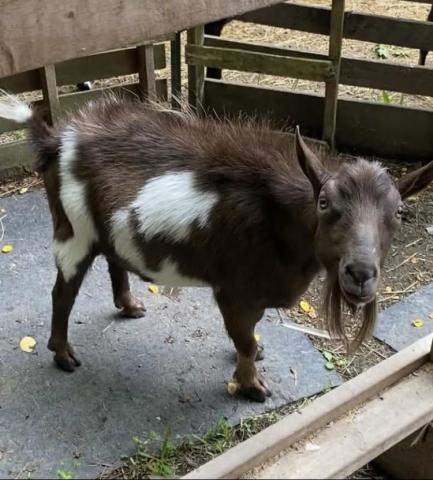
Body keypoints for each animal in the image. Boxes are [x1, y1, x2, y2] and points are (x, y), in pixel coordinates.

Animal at [0, 94, 432, 402]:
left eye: (399, 212)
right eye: (324, 203)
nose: (360, 274)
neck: (277, 218)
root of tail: (56, 140)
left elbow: (250, 338)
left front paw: (254, 362)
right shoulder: (234, 292)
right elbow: (244, 340)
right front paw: (252, 387)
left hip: (101, 231)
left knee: (113, 259)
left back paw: (129, 305)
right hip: (72, 230)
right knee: (63, 292)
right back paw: (63, 355)